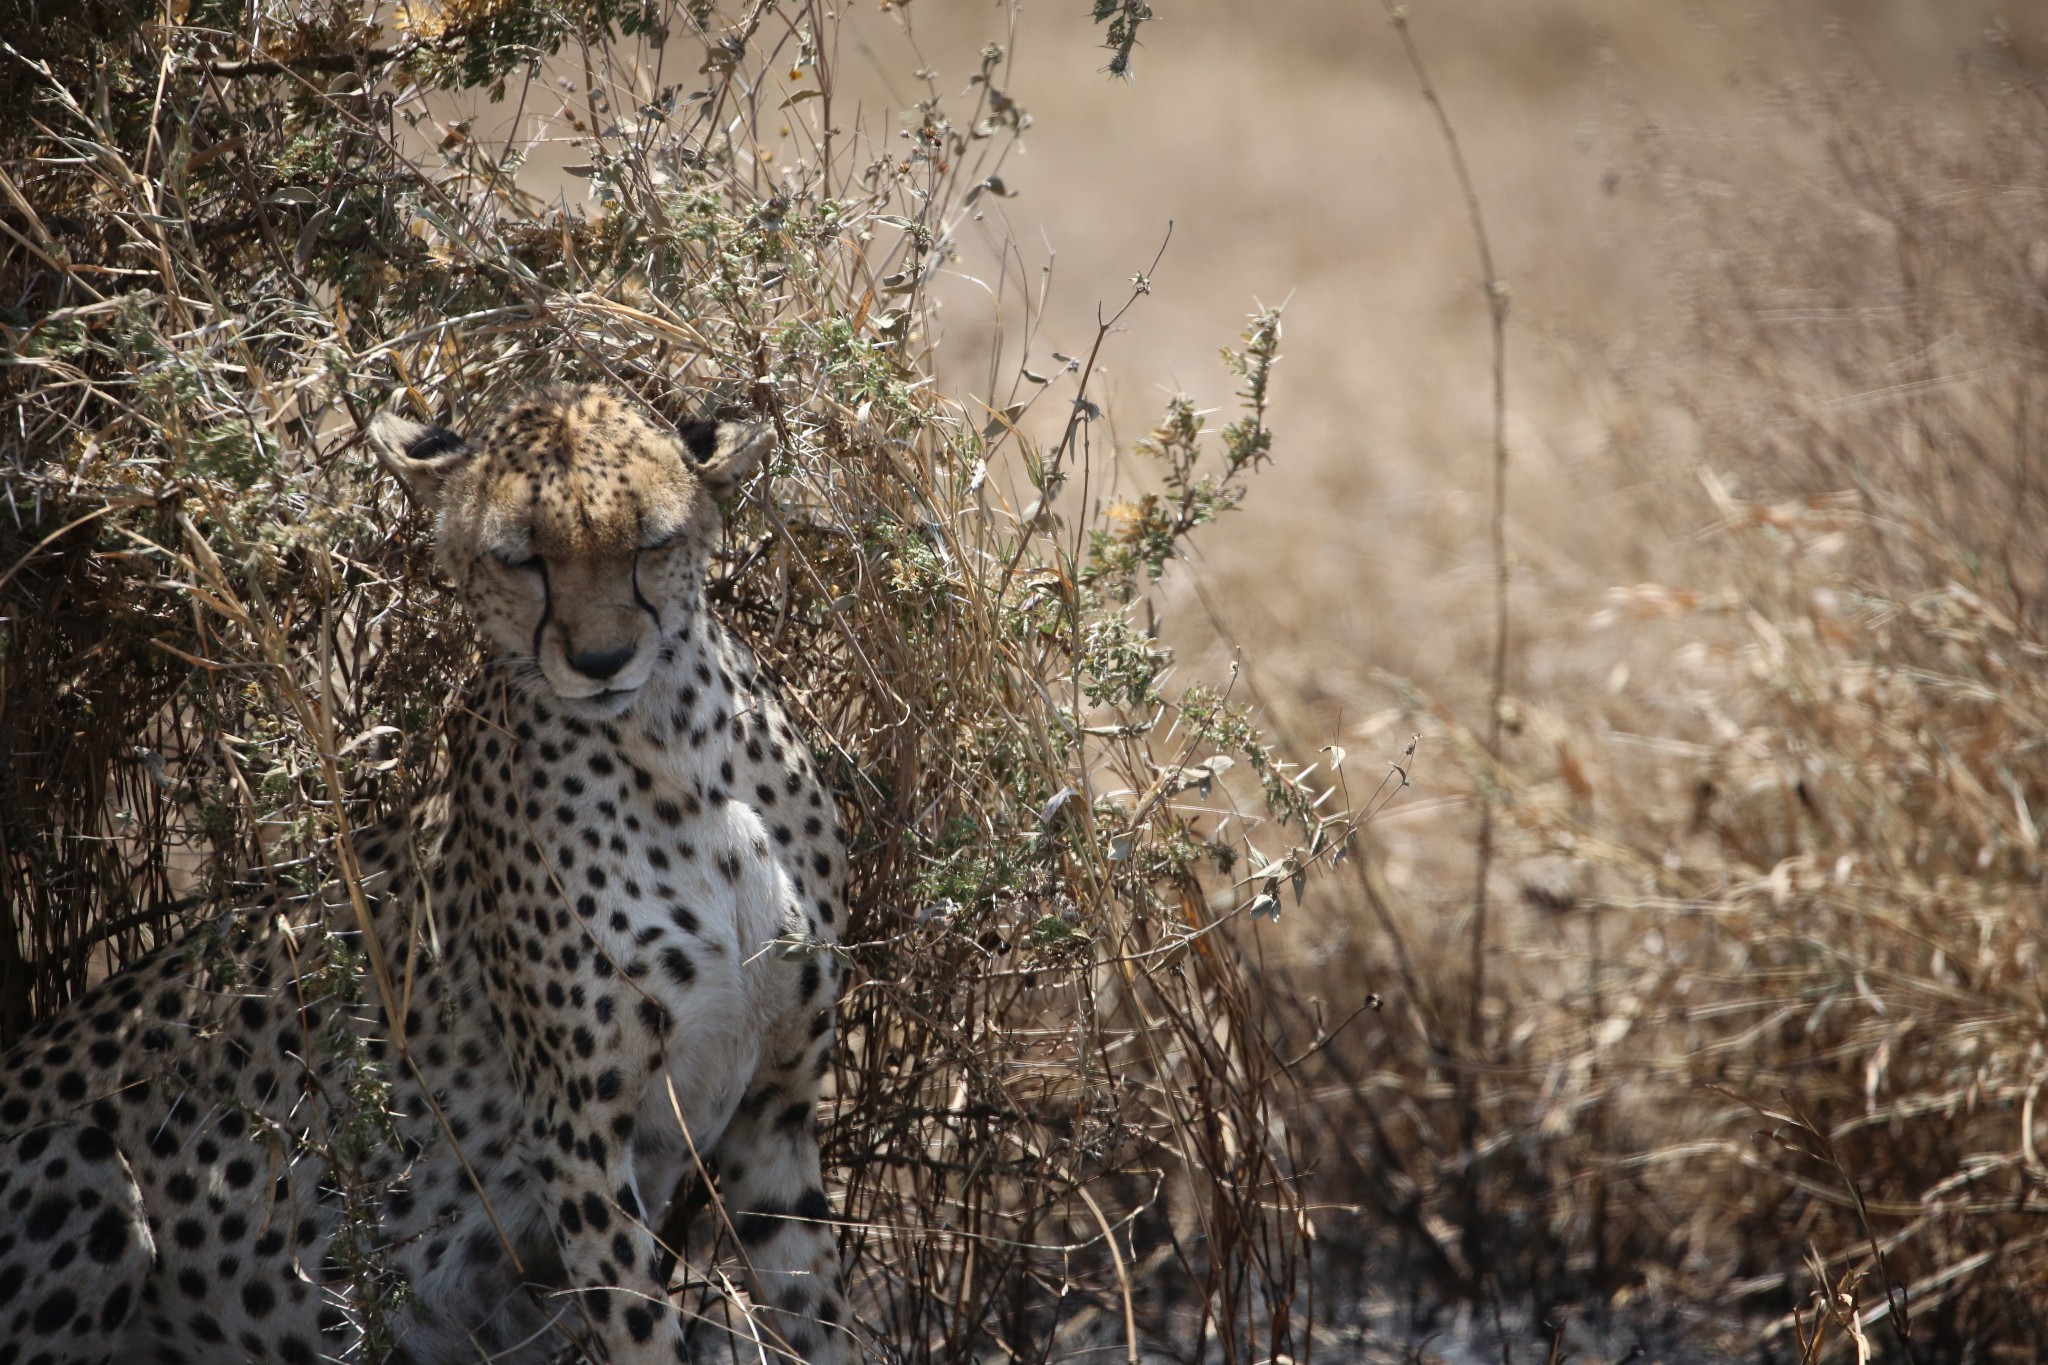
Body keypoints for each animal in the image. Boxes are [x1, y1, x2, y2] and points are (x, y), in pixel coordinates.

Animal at [0, 384, 851, 1365]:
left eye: (651, 543)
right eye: (522, 560)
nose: (601, 662)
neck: (677, 748)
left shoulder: (776, 1110)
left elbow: (826, 1317)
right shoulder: (580, 1140)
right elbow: (643, 1326)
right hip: (90, 1162)